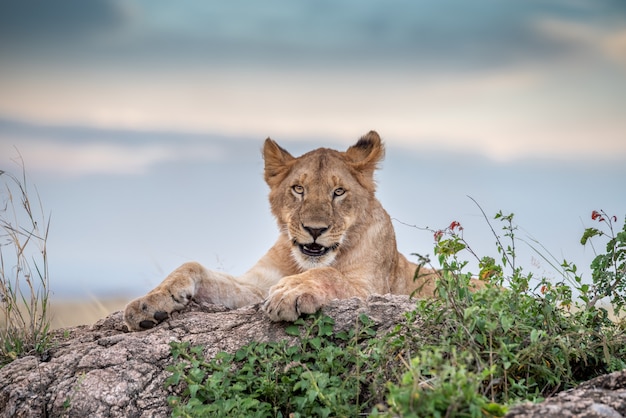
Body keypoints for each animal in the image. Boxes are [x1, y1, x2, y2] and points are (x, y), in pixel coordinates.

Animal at [123, 131, 438, 334]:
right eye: (299, 189)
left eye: (338, 192)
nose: (314, 230)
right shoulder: (256, 287)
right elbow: (192, 265)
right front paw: (149, 304)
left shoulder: (372, 289)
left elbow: (329, 274)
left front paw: (290, 292)